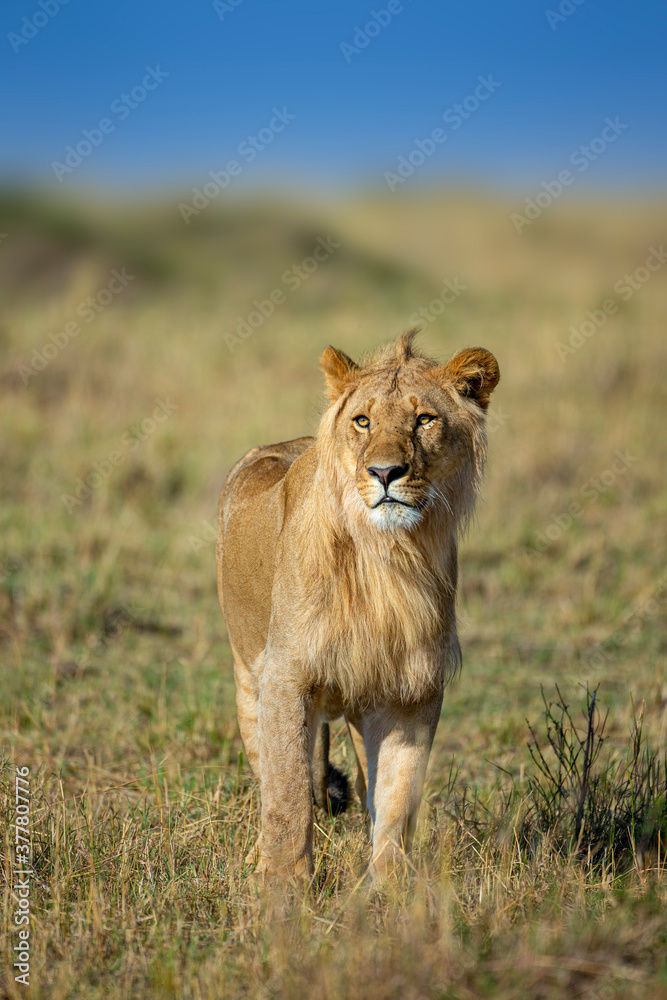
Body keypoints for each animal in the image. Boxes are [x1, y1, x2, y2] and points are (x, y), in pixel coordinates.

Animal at [216, 330, 499, 881]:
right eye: (363, 421)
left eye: (424, 419)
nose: (385, 471)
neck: (386, 555)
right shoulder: (286, 675)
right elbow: (288, 795)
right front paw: (281, 886)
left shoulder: (411, 686)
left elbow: (396, 794)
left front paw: (388, 886)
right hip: (247, 678)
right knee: (271, 777)